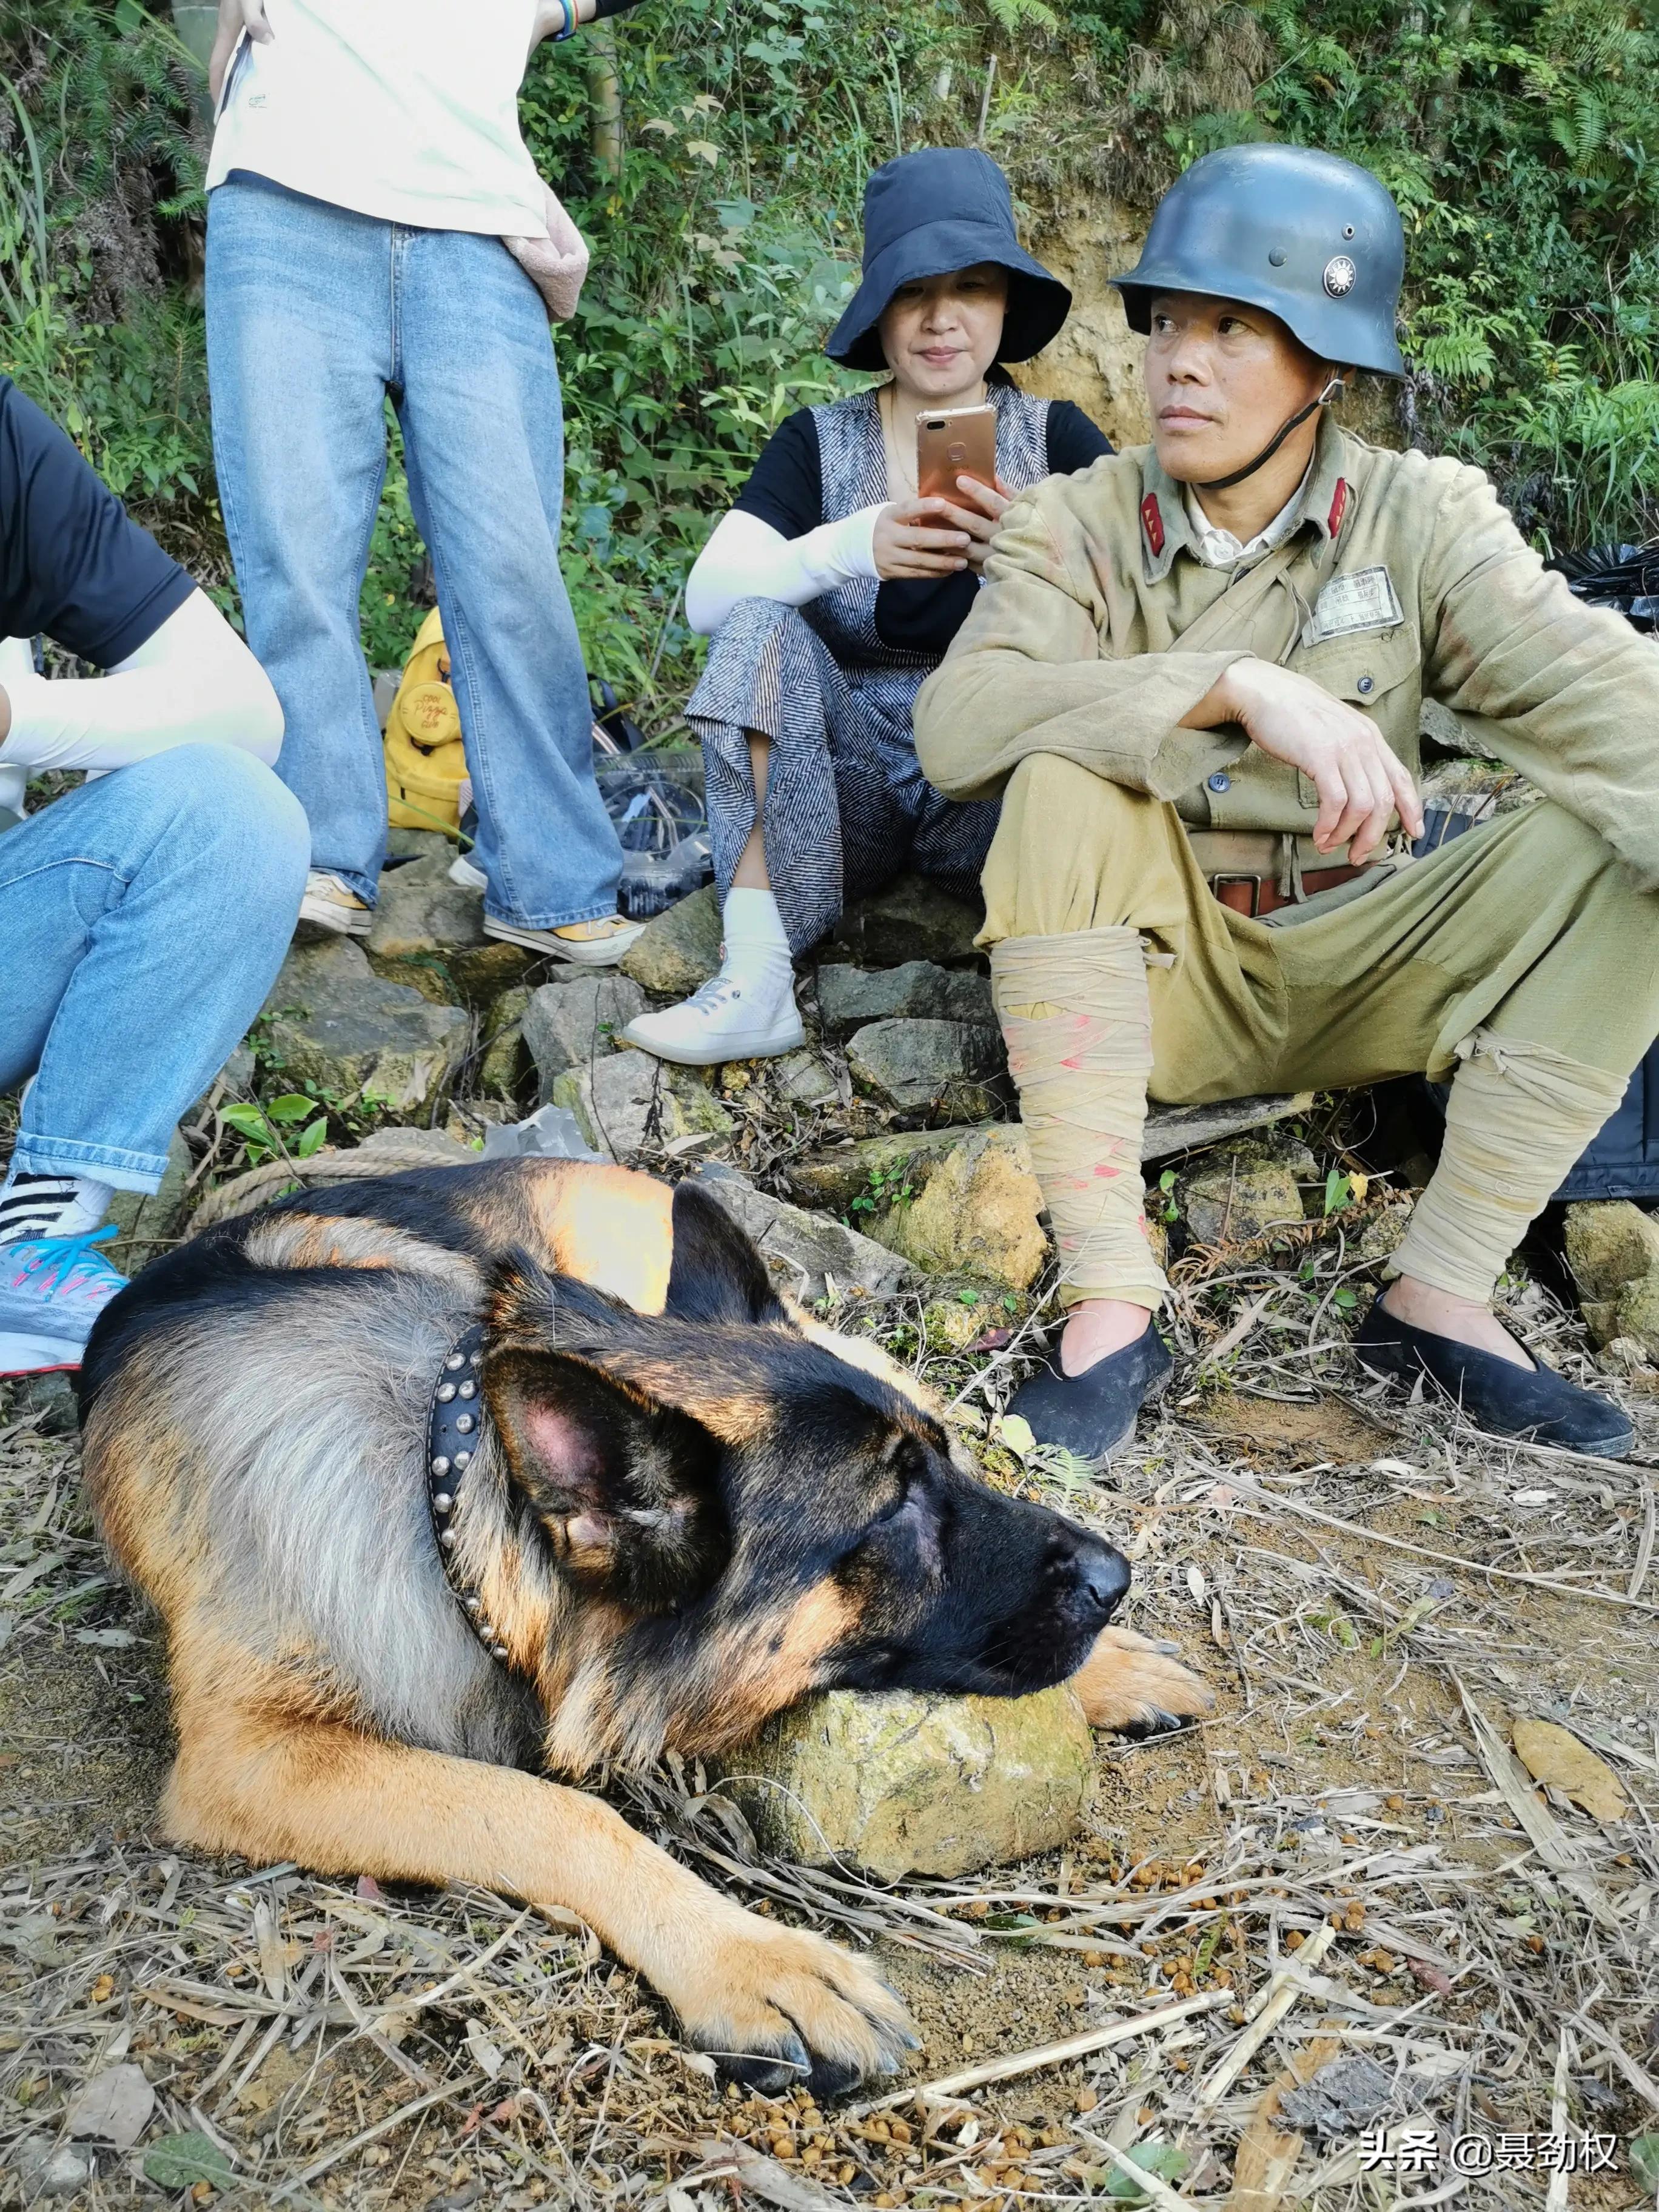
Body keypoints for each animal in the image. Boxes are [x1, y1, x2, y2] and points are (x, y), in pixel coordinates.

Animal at [75, 1159, 1212, 2088]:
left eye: (931, 1472)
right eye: (889, 1514)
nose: (1115, 1577)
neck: (446, 1482)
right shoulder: (253, 1759)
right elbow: (556, 1812)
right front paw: (750, 1956)